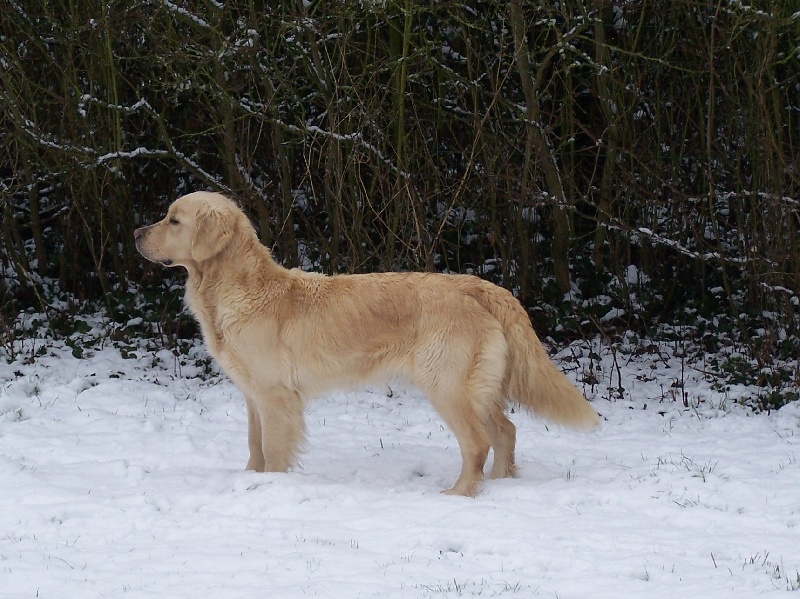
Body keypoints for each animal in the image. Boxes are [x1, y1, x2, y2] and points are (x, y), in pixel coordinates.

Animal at [134, 193, 596, 496]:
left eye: (173, 220)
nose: (136, 232)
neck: (234, 289)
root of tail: (479, 286)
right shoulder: (253, 396)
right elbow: (254, 446)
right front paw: (251, 478)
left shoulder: (276, 396)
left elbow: (274, 450)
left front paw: (272, 488)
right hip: (477, 387)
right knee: (506, 431)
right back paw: (498, 483)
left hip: (447, 385)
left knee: (479, 442)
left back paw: (460, 493)